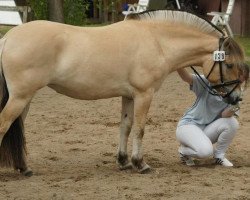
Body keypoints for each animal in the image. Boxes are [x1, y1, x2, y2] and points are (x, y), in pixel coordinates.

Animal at [0, 10, 246, 176]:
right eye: (230, 65)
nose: (236, 98)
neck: (156, 41)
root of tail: (8, 37)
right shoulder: (144, 94)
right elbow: (139, 129)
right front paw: (140, 163)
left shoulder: (129, 96)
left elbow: (125, 127)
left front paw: (123, 161)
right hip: (21, 97)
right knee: (4, 124)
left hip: (26, 99)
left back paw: (25, 168)